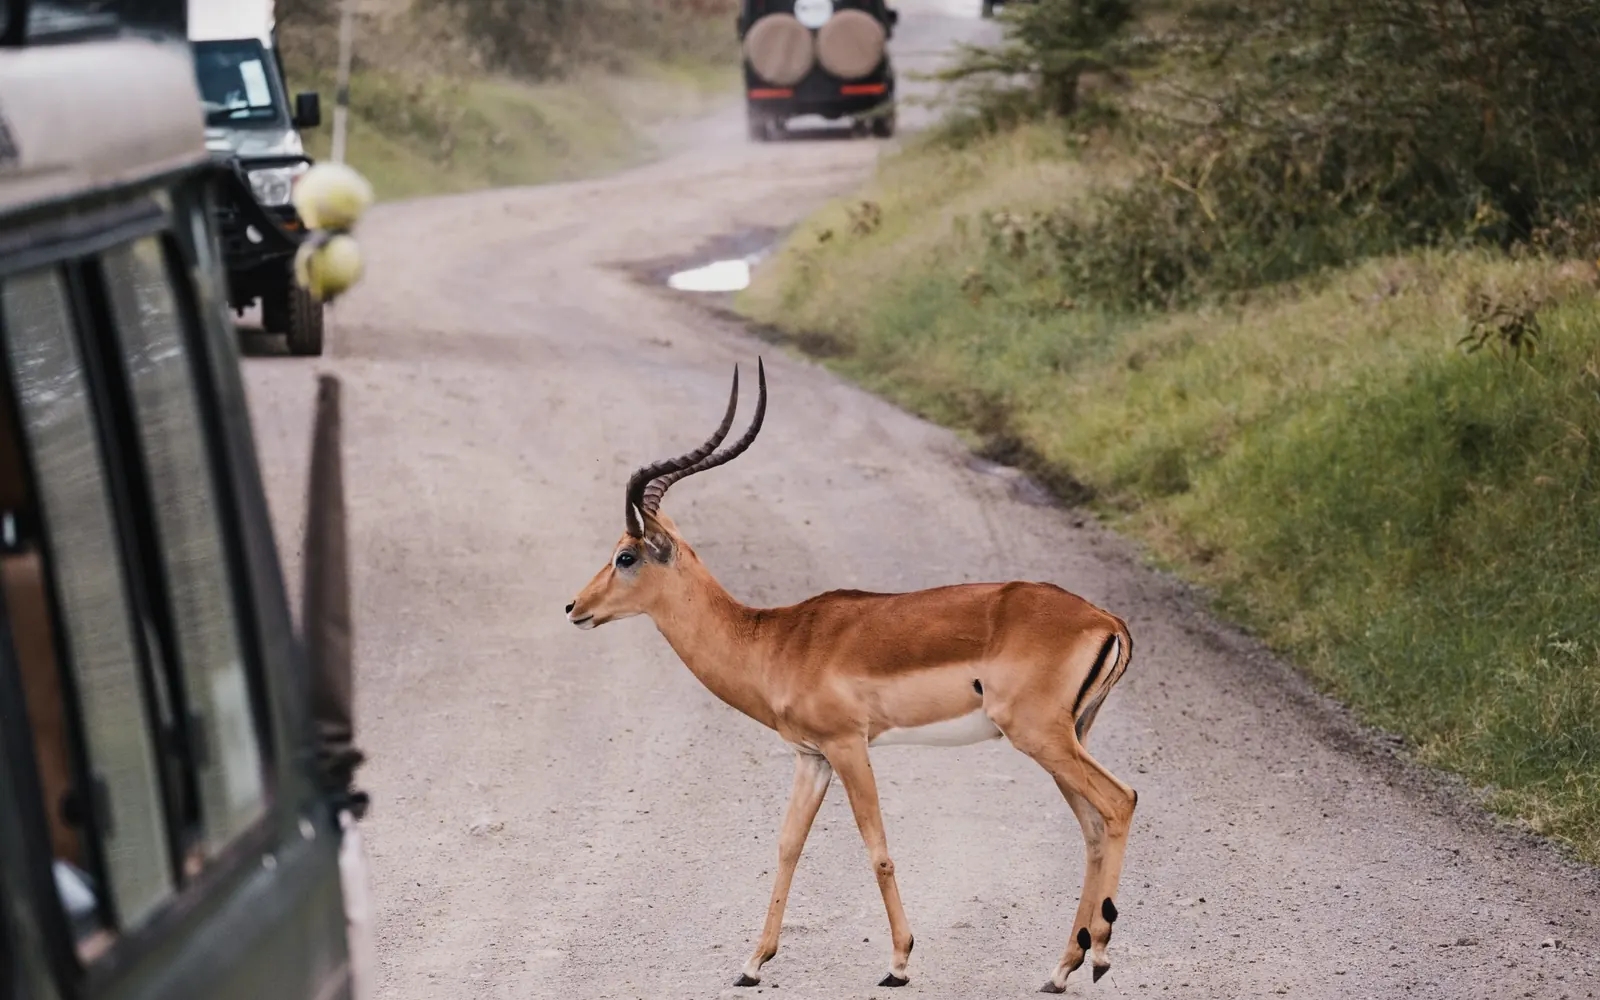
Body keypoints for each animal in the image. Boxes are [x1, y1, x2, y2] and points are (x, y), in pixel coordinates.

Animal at [565, 359, 1138, 992]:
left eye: (625, 556)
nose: (574, 607)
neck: (776, 639)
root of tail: (1106, 620)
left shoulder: (848, 745)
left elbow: (877, 848)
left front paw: (898, 963)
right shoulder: (810, 756)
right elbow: (788, 845)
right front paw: (752, 963)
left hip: (1041, 736)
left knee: (1120, 801)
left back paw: (1100, 954)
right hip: (1068, 737)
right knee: (1092, 828)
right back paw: (1062, 968)